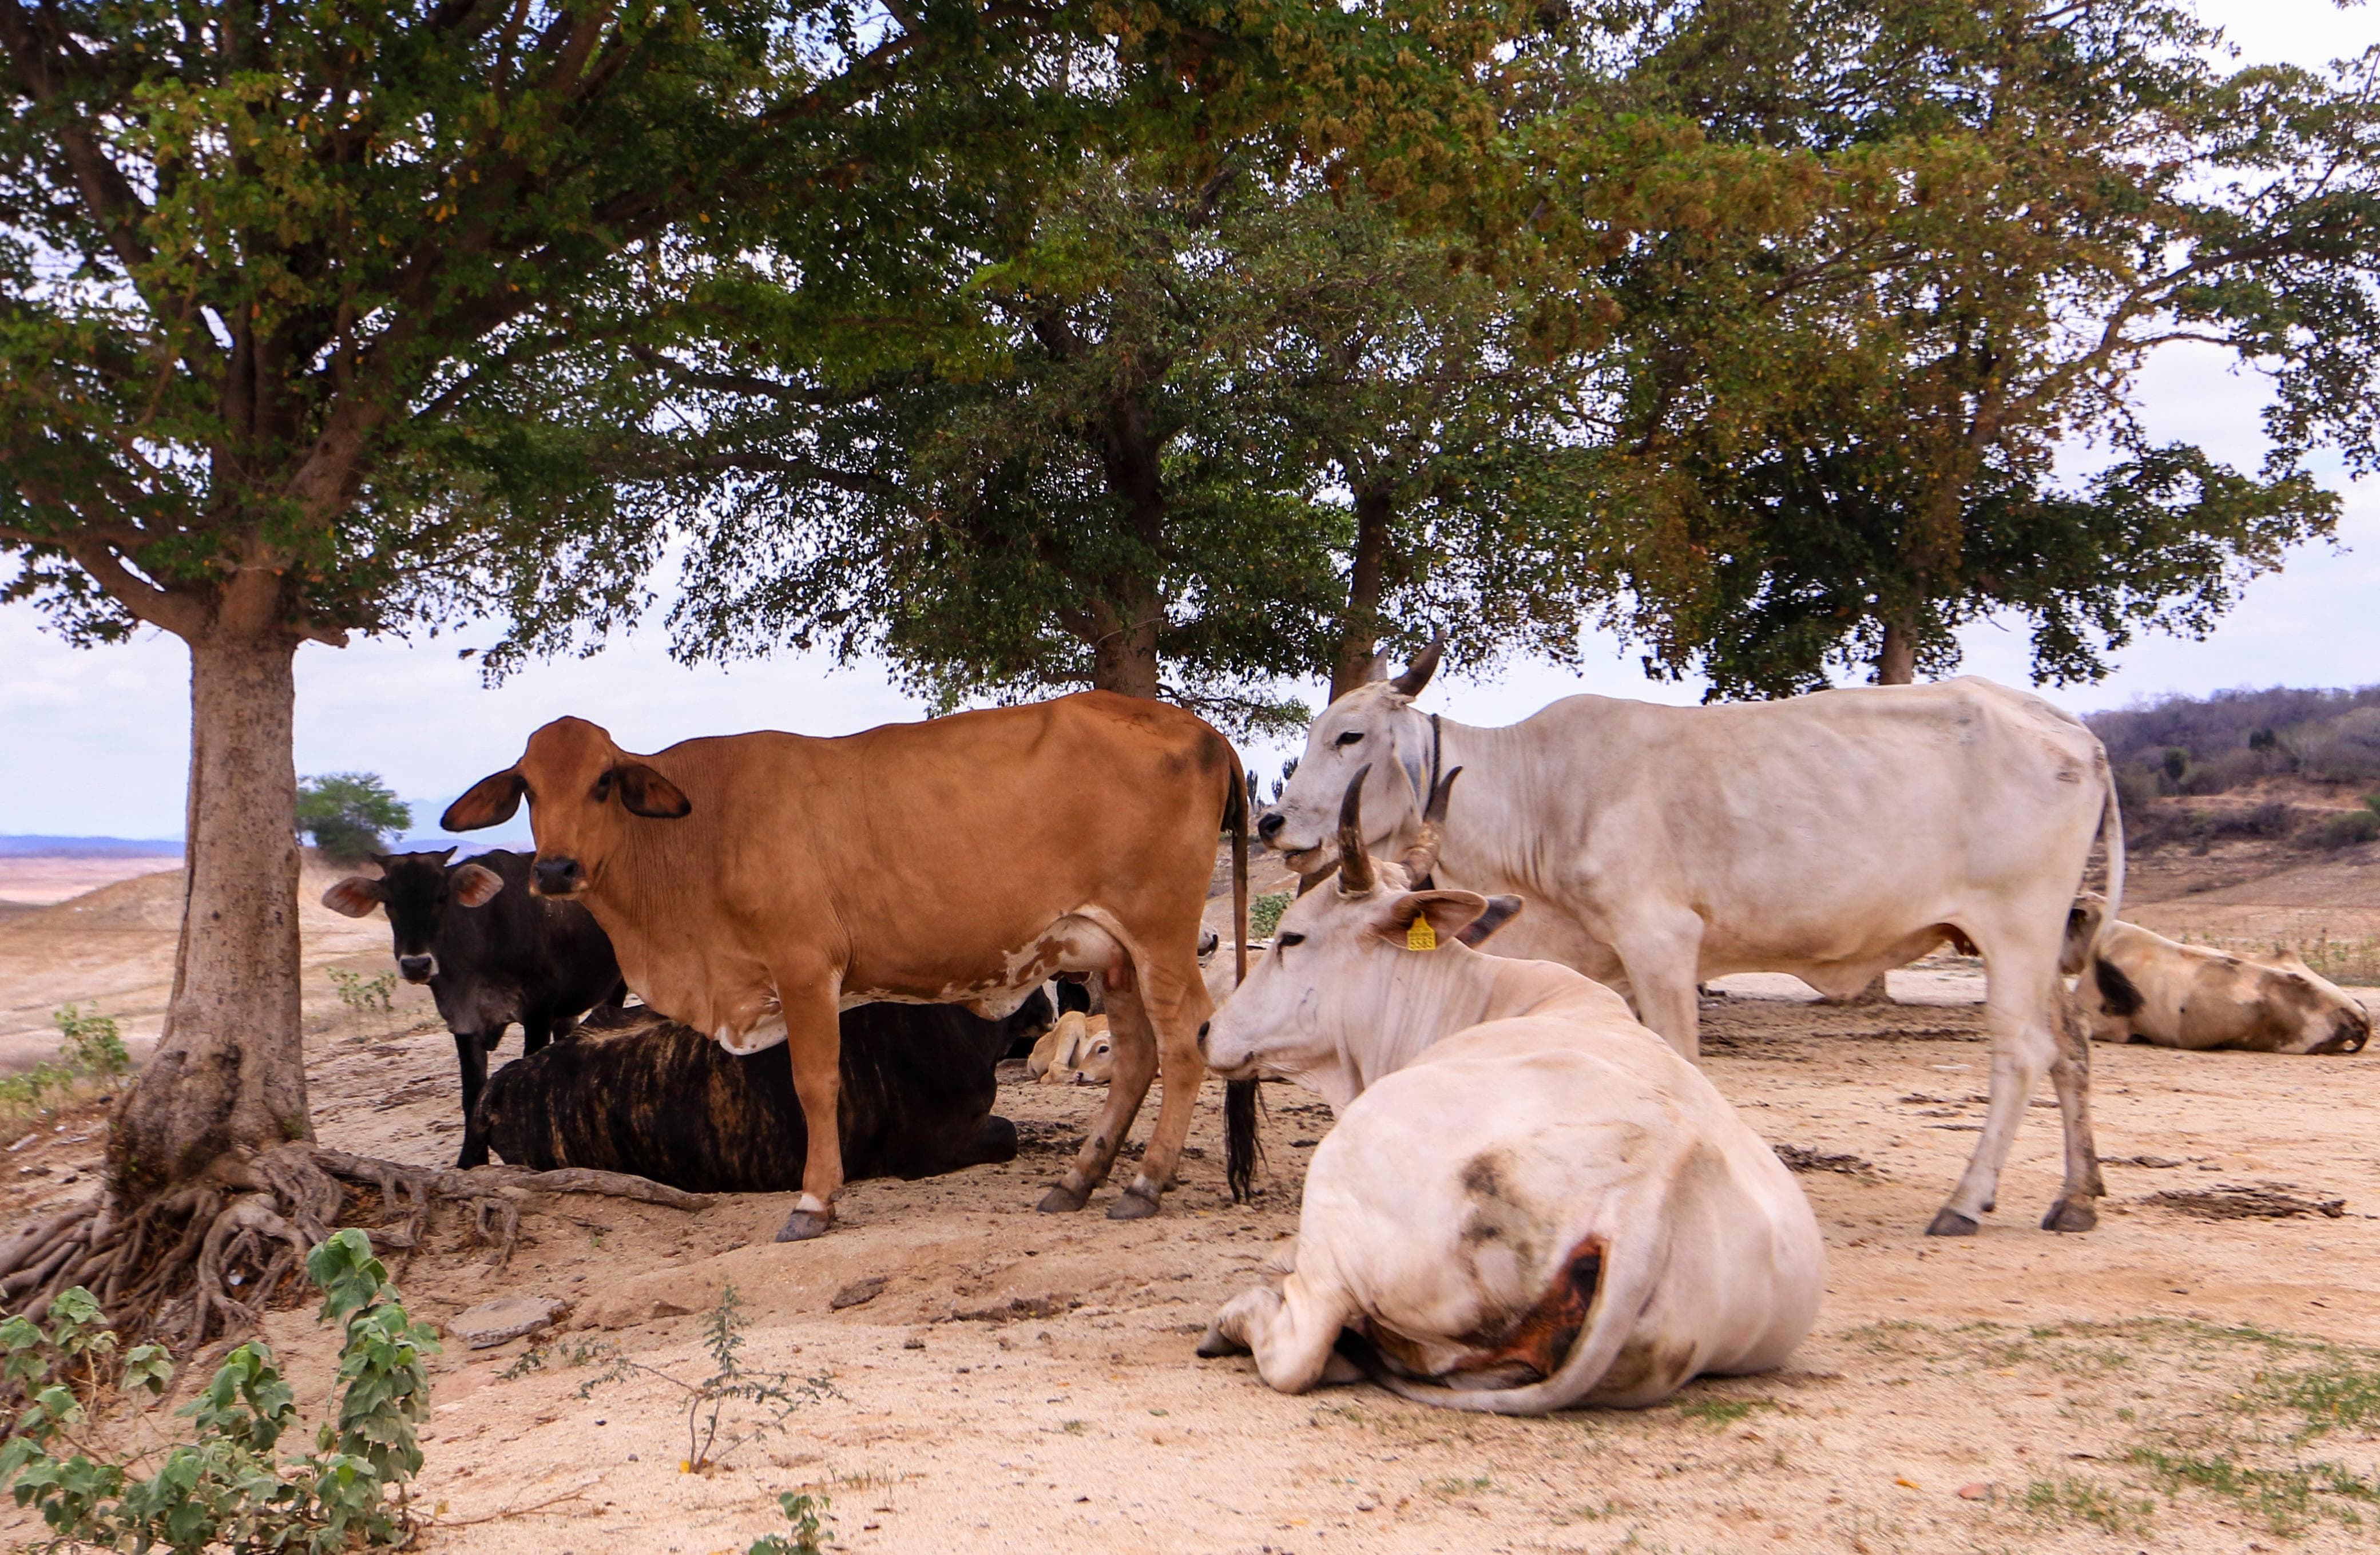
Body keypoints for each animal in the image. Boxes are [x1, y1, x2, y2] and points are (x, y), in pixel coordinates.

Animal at [322, 849, 625, 1168]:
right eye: (389, 901)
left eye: (442, 897)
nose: (416, 965)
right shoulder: (463, 1019)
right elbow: (472, 1094)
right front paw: (472, 1160)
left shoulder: (538, 1013)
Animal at [1195, 773, 1824, 1414]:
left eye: (1293, 938)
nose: (1206, 1031)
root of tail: (1644, 1200)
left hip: (1339, 1187)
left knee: (1300, 1345)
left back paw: (1235, 1319)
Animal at [1255, 644, 2118, 1238]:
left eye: (1349, 736)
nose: (1272, 821)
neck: (1540, 791)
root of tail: (2069, 729)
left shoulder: (1660, 942)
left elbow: (1675, 1060)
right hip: (2039, 945)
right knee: (2070, 1046)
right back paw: (2076, 1195)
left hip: (2014, 929)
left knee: (2021, 1052)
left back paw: (1966, 1202)